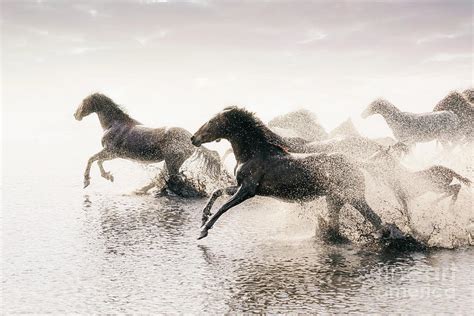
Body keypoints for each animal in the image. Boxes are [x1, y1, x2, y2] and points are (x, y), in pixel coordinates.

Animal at [74, 91, 222, 196]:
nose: (75, 115)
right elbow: (98, 161)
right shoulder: (114, 154)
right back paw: (140, 190)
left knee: (172, 178)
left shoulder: (110, 151)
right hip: (170, 162)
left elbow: (91, 159)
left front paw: (86, 181)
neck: (114, 124)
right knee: (163, 177)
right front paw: (109, 176)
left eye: (84, 102)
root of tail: (191, 139)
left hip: (172, 162)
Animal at [190, 107, 418, 246]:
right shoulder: (242, 187)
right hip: (334, 200)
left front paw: (203, 230)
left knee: (377, 220)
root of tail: (355, 162)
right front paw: (203, 216)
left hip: (354, 197)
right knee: (339, 226)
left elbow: (224, 207)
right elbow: (217, 191)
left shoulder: (248, 190)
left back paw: (396, 237)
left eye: (211, 122)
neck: (253, 153)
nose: (193, 138)